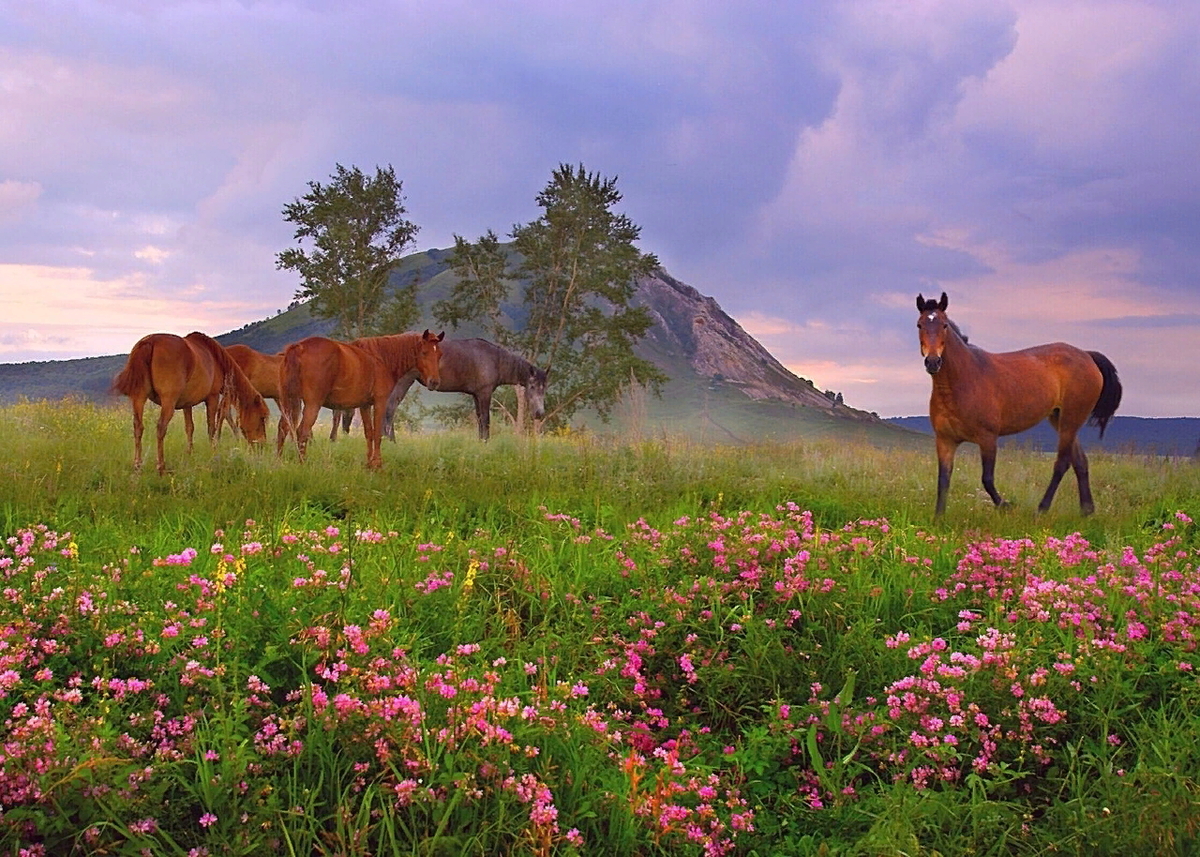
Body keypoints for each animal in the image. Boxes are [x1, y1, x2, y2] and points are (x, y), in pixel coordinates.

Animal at [111, 331, 270, 472]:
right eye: (262, 418)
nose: (262, 445)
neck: (216, 359)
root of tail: (150, 341)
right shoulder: (212, 398)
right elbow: (211, 428)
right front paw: (213, 451)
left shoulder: (186, 404)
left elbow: (189, 428)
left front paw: (189, 452)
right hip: (168, 402)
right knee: (161, 428)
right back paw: (161, 466)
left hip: (139, 398)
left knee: (138, 427)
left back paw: (138, 464)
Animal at [277, 328, 446, 468]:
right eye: (424, 352)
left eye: (439, 354)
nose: (434, 382)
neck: (381, 358)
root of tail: (299, 347)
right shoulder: (380, 402)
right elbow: (377, 433)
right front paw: (377, 464)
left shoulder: (365, 405)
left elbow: (369, 433)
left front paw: (369, 463)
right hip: (312, 404)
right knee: (302, 431)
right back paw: (302, 463)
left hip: (288, 402)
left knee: (283, 428)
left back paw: (278, 461)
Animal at [331, 336, 549, 441]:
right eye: (532, 386)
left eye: (544, 389)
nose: (539, 414)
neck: (494, 360)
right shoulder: (485, 393)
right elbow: (486, 421)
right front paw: (486, 443)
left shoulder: (476, 395)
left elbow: (480, 420)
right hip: (402, 383)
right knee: (389, 409)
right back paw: (391, 440)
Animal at [916, 291, 1123, 513]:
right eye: (919, 325)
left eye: (944, 325)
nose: (933, 362)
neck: (961, 382)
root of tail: (1087, 355)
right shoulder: (945, 441)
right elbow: (943, 482)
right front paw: (938, 518)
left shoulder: (988, 438)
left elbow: (987, 479)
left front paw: (1006, 505)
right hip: (1060, 419)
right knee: (1080, 462)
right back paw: (1086, 511)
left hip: (1071, 420)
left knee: (1062, 463)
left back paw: (1042, 509)